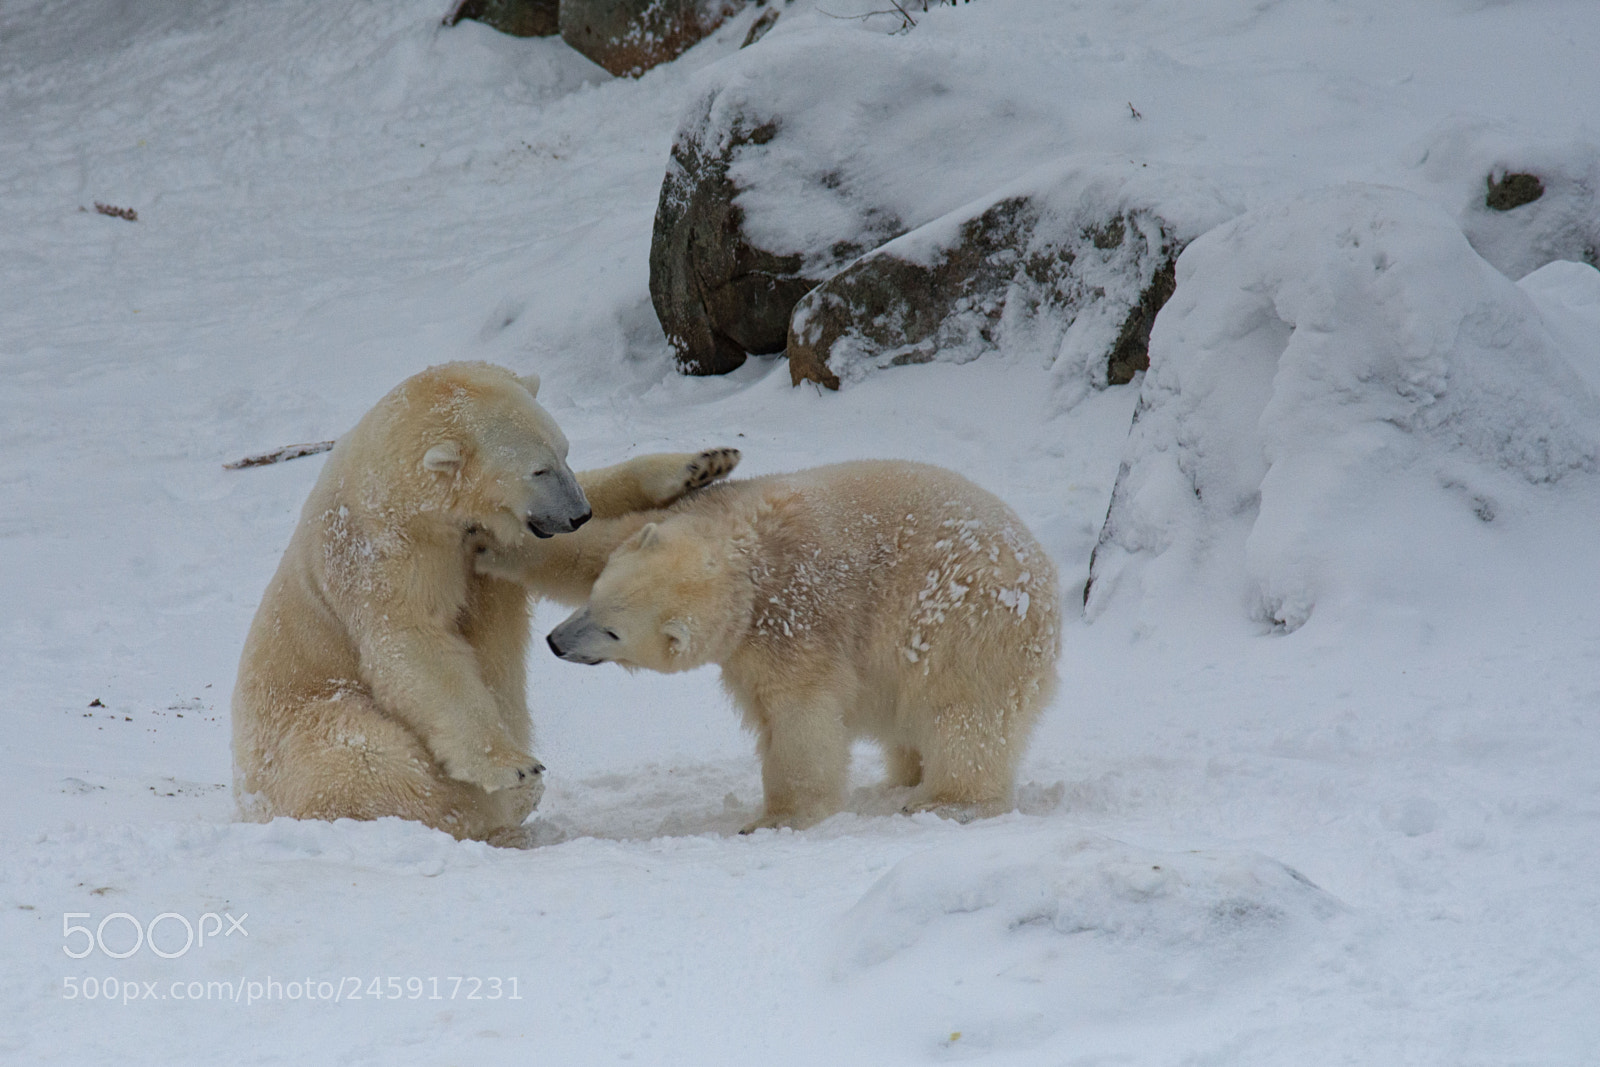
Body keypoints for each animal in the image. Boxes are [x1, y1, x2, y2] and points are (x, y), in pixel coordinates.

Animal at [231, 361, 740, 846]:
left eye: (565, 452)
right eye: (537, 469)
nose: (578, 514)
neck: (412, 499)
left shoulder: (491, 535)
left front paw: (702, 464)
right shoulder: (379, 556)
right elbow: (413, 642)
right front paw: (513, 766)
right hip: (306, 725)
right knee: (369, 755)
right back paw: (480, 812)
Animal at [539, 460, 1060, 832]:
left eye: (613, 632)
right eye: (593, 600)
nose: (555, 642)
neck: (747, 561)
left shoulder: (793, 625)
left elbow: (800, 717)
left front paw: (776, 819)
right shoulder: (705, 508)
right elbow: (594, 541)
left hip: (970, 624)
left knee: (965, 713)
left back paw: (944, 801)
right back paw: (902, 779)